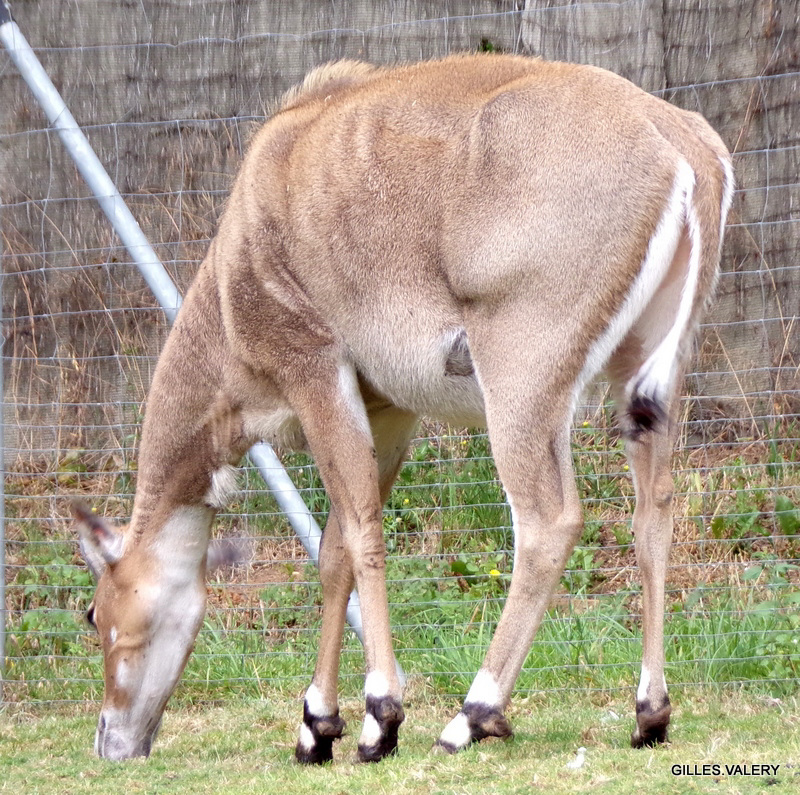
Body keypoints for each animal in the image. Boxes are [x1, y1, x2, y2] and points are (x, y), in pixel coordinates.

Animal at [73, 54, 732, 764]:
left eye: (95, 613)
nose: (110, 740)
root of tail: (682, 147)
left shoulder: (315, 370)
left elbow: (362, 531)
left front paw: (377, 718)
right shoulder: (389, 409)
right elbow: (334, 550)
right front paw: (316, 725)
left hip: (521, 380)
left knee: (548, 520)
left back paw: (472, 715)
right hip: (647, 377)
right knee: (654, 508)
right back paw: (649, 714)